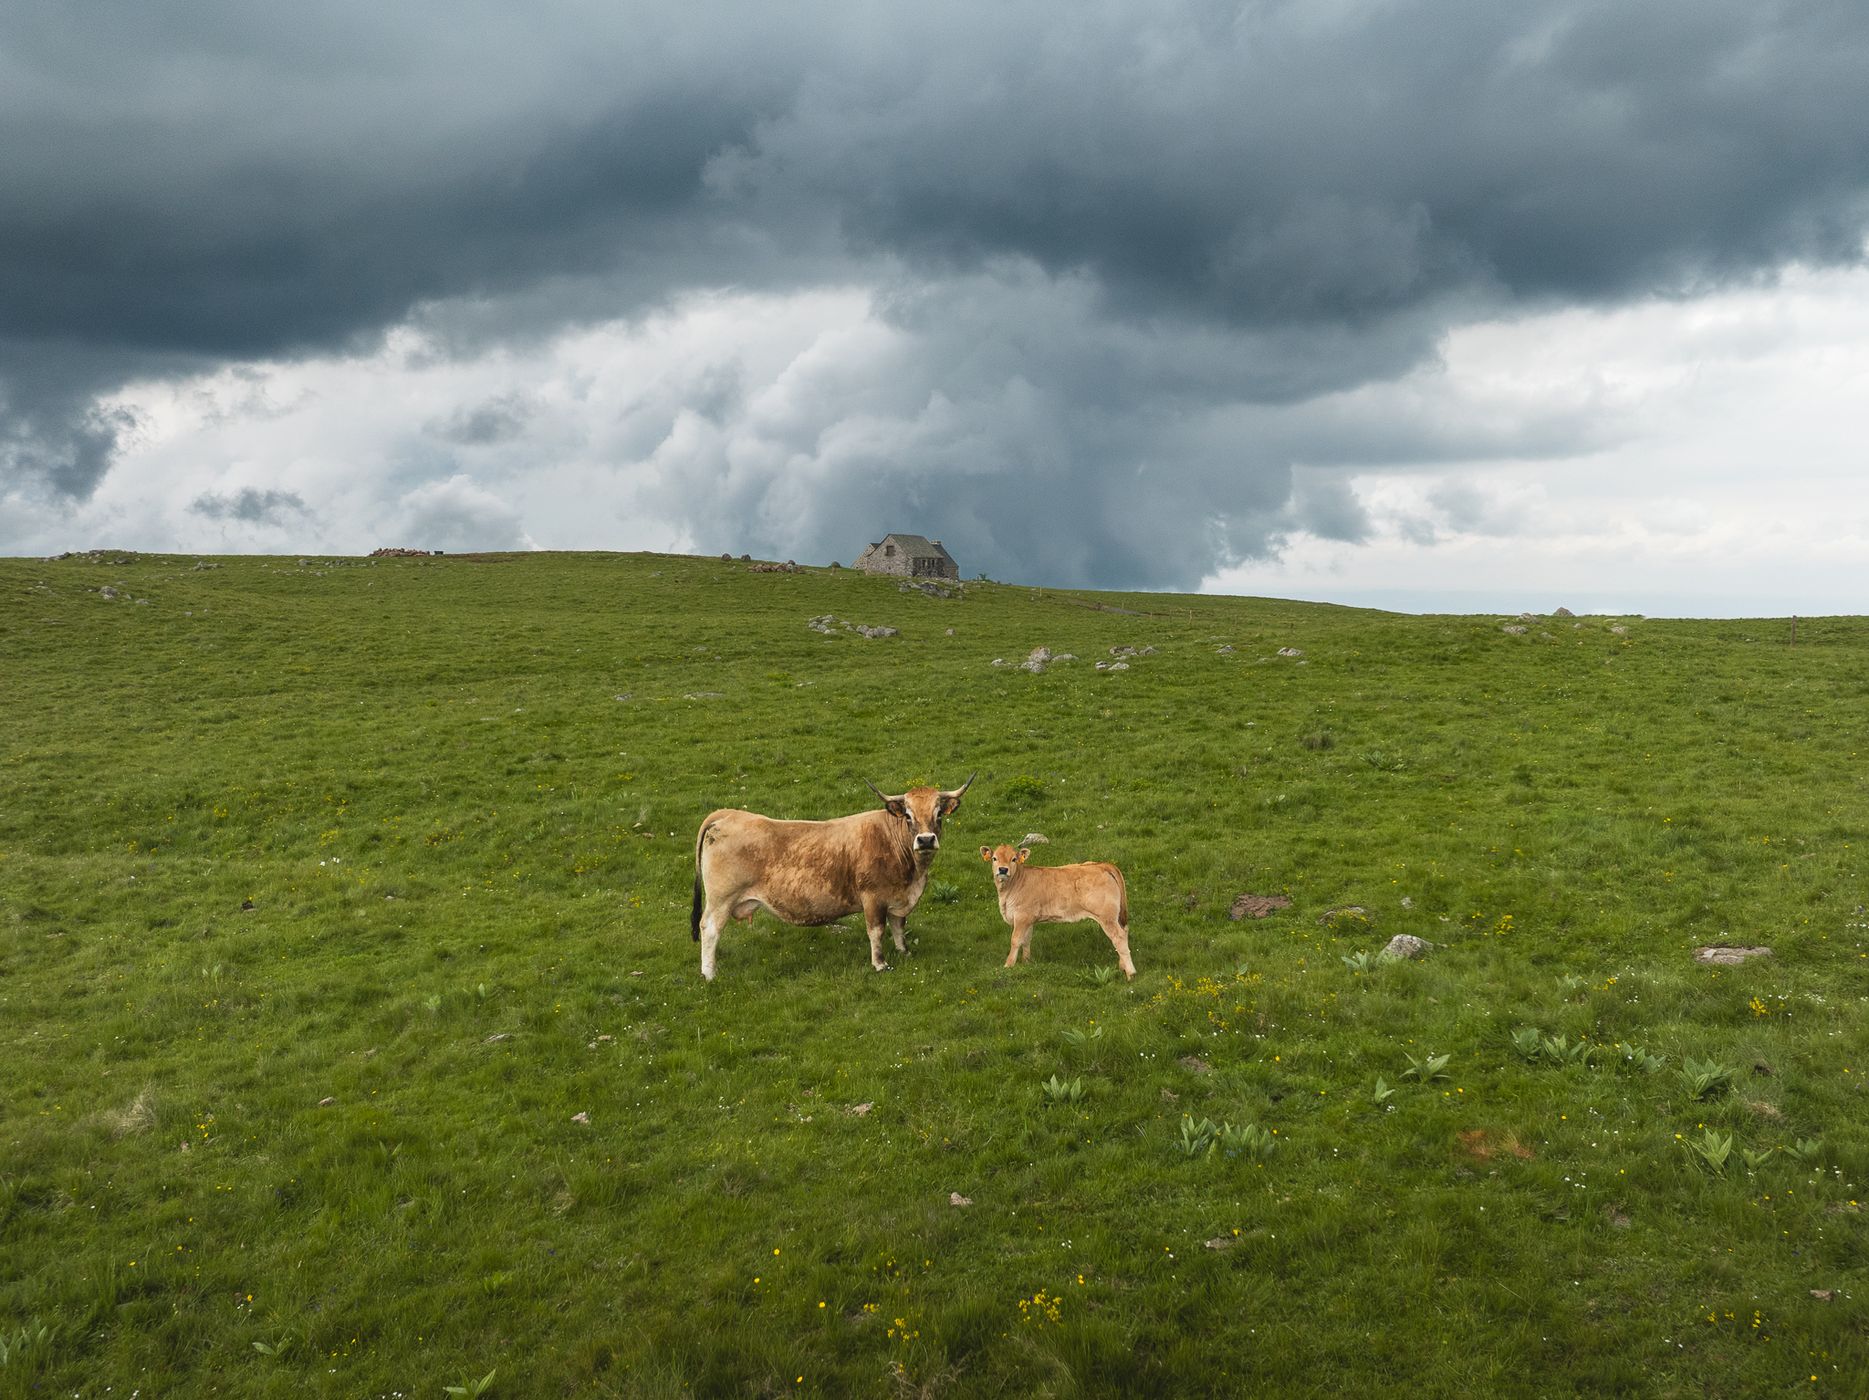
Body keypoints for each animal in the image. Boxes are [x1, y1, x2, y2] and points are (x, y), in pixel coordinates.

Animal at [691, 776, 973, 980]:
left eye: (939, 814)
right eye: (908, 815)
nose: (925, 840)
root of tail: (729, 814)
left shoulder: (897, 899)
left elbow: (898, 926)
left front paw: (904, 952)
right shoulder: (873, 899)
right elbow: (876, 931)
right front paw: (880, 964)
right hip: (721, 899)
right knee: (710, 929)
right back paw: (709, 974)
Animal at [980, 843, 1136, 980]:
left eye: (1014, 859)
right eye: (994, 858)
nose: (1003, 870)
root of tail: (1102, 864)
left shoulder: (1021, 916)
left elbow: (1015, 940)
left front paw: (1008, 965)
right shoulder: (1029, 918)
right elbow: (1026, 940)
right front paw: (1026, 963)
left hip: (1106, 916)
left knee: (1119, 937)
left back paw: (1131, 973)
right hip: (1115, 916)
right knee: (1124, 931)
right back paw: (1122, 966)